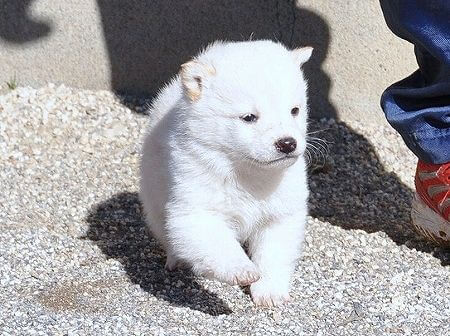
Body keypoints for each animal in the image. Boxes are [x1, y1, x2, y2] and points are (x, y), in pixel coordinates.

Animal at [141, 40, 312, 308]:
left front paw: (269, 291)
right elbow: (214, 240)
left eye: (294, 110)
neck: (247, 172)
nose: (287, 143)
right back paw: (176, 259)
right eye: (249, 117)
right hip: (154, 191)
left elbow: (273, 251)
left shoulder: (281, 211)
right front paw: (242, 269)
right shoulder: (196, 204)